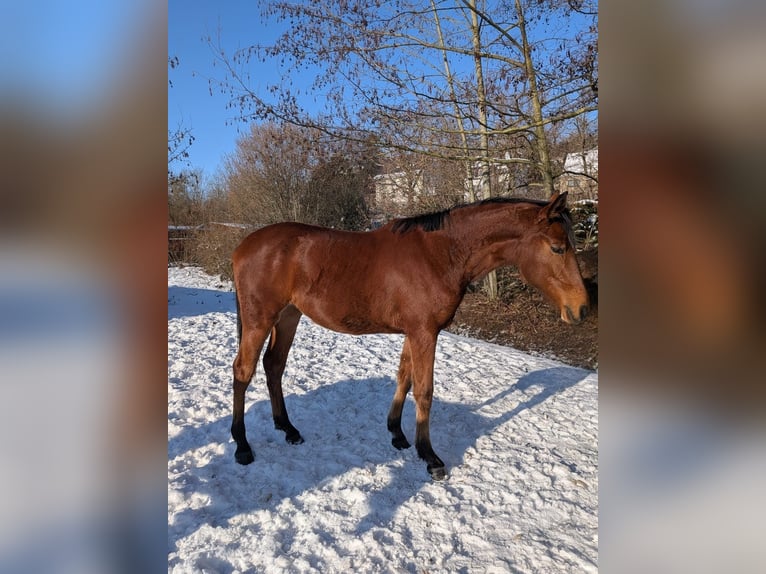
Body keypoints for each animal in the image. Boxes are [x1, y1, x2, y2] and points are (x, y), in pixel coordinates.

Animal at [230, 191, 588, 480]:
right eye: (557, 248)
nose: (582, 308)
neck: (440, 254)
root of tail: (243, 246)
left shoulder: (413, 332)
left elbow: (404, 377)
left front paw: (397, 434)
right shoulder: (425, 333)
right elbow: (424, 391)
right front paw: (429, 456)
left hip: (289, 316)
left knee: (274, 365)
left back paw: (287, 428)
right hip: (260, 320)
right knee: (243, 371)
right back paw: (242, 445)